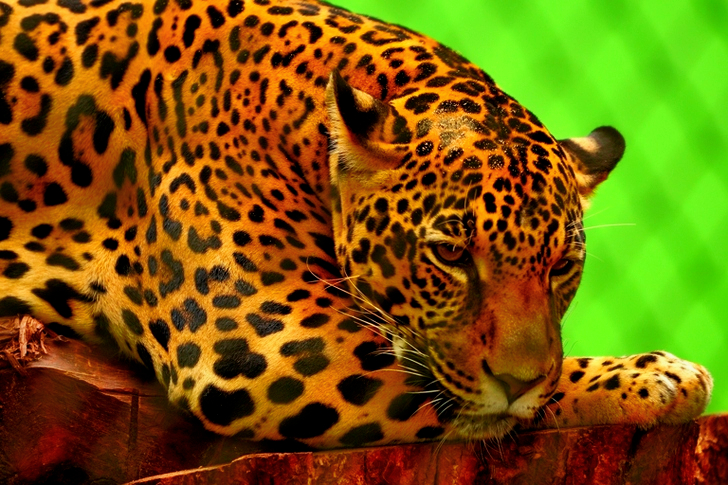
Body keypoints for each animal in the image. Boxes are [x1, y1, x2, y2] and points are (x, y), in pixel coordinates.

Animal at [0, 0, 712, 448]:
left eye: (562, 265)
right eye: (451, 254)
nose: (518, 380)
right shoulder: (266, 344)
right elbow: (479, 402)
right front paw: (652, 376)